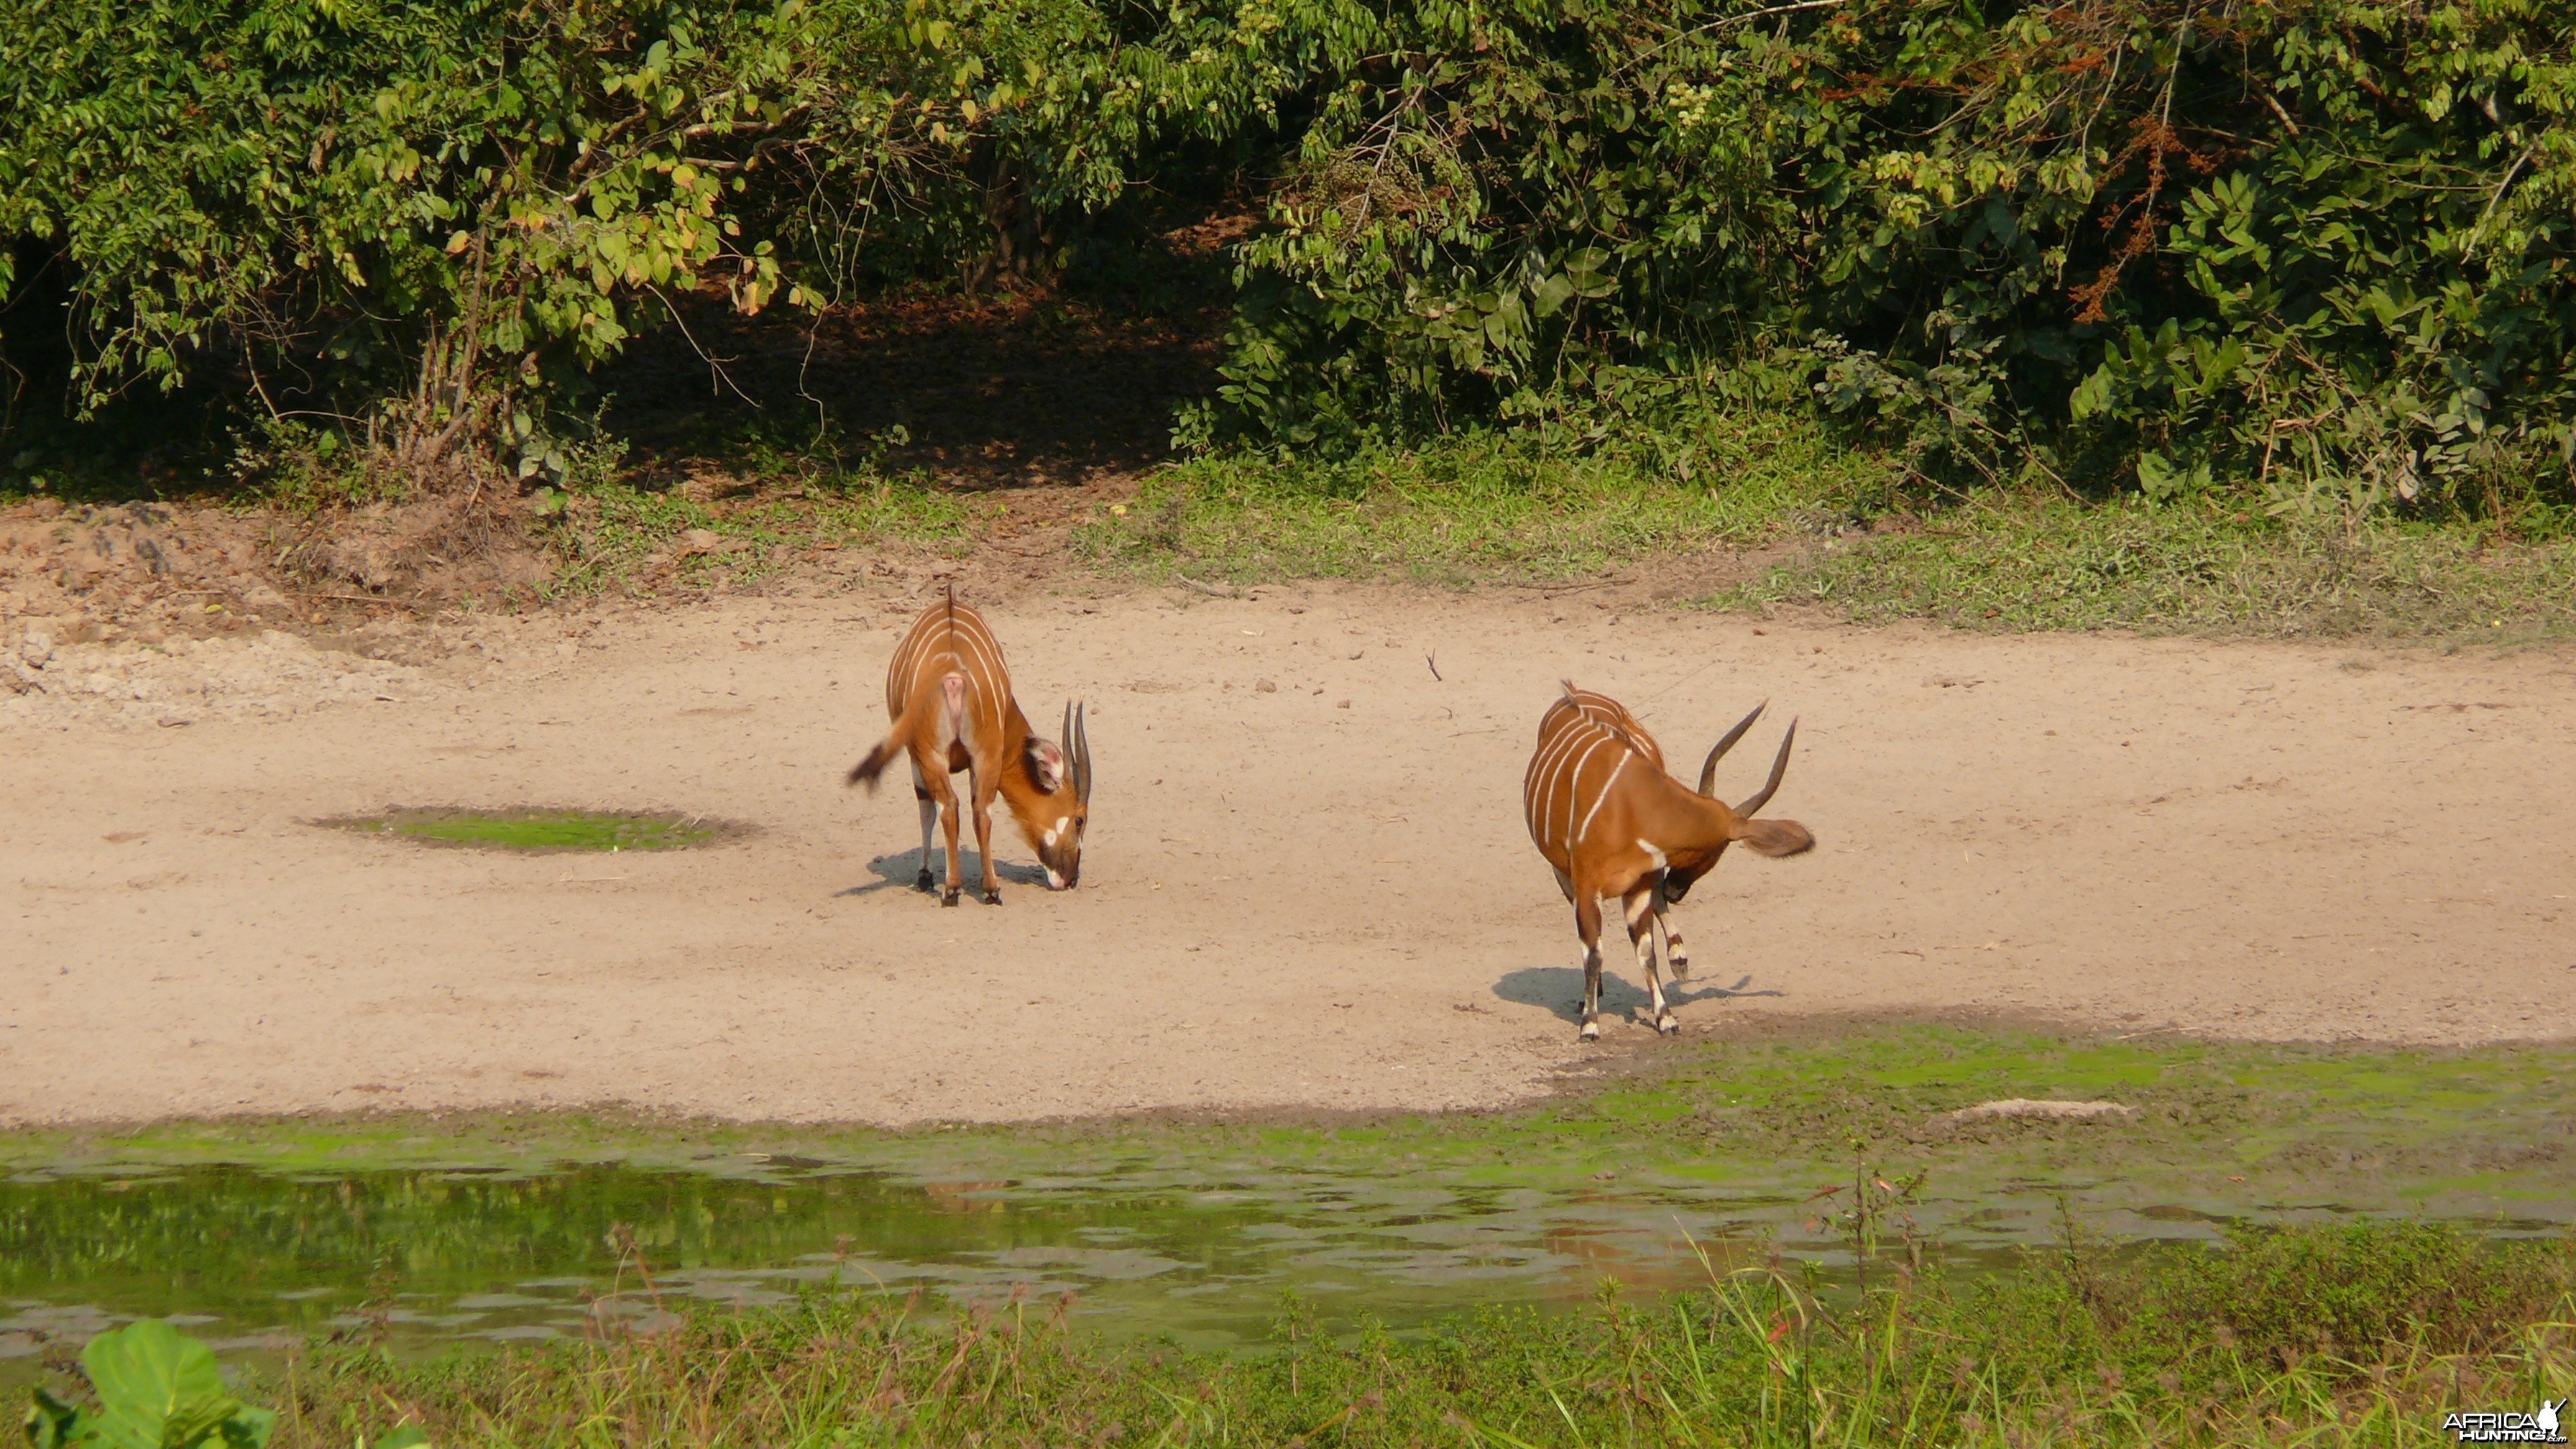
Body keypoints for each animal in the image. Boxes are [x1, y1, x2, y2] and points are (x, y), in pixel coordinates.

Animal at [845, 587, 1087, 902]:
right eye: (1080, 820)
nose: (1071, 879)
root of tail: (953, 674)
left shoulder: (920, 756)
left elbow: (929, 808)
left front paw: (926, 876)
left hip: (935, 755)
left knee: (949, 806)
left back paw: (952, 888)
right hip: (981, 756)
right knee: (979, 811)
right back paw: (990, 889)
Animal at [1524, 681, 1813, 1031]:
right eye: (1717, 851)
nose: (1677, 890)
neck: (1633, 805)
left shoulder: (1639, 885)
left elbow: (1645, 953)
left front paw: (1665, 1017)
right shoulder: (1587, 887)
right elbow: (1593, 953)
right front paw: (1590, 1024)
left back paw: (1679, 955)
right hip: (1564, 873)